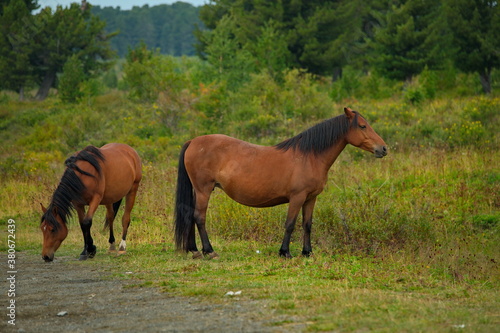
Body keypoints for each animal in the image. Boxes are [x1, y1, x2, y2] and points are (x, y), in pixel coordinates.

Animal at [174, 107, 388, 258]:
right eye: (362, 126)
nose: (383, 148)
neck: (309, 156)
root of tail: (193, 142)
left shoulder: (310, 199)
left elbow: (307, 224)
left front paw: (307, 252)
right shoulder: (297, 197)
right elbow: (290, 224)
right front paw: (285, 252)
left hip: (198, 191)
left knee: (190, 215)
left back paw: (194, 250)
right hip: (204, 190)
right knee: (199, 217)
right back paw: (209, 251)